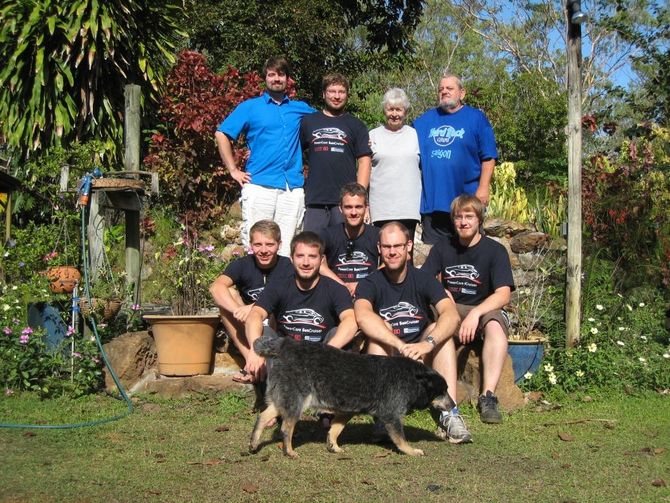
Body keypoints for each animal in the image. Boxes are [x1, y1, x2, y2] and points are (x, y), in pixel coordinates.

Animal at [249, 332, 454, 458]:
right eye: (443, 391)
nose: (453, 405)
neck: (412, 378)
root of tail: (284, 345)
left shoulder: (347, 411)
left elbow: (335, 430)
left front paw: (333, 446)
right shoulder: (392, 416)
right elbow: (401, 439)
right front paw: (411, 451)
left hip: (283, 399)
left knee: (262, 416)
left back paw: (253, 443)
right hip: (297, 401)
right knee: (286, 428)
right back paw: (289, 451)